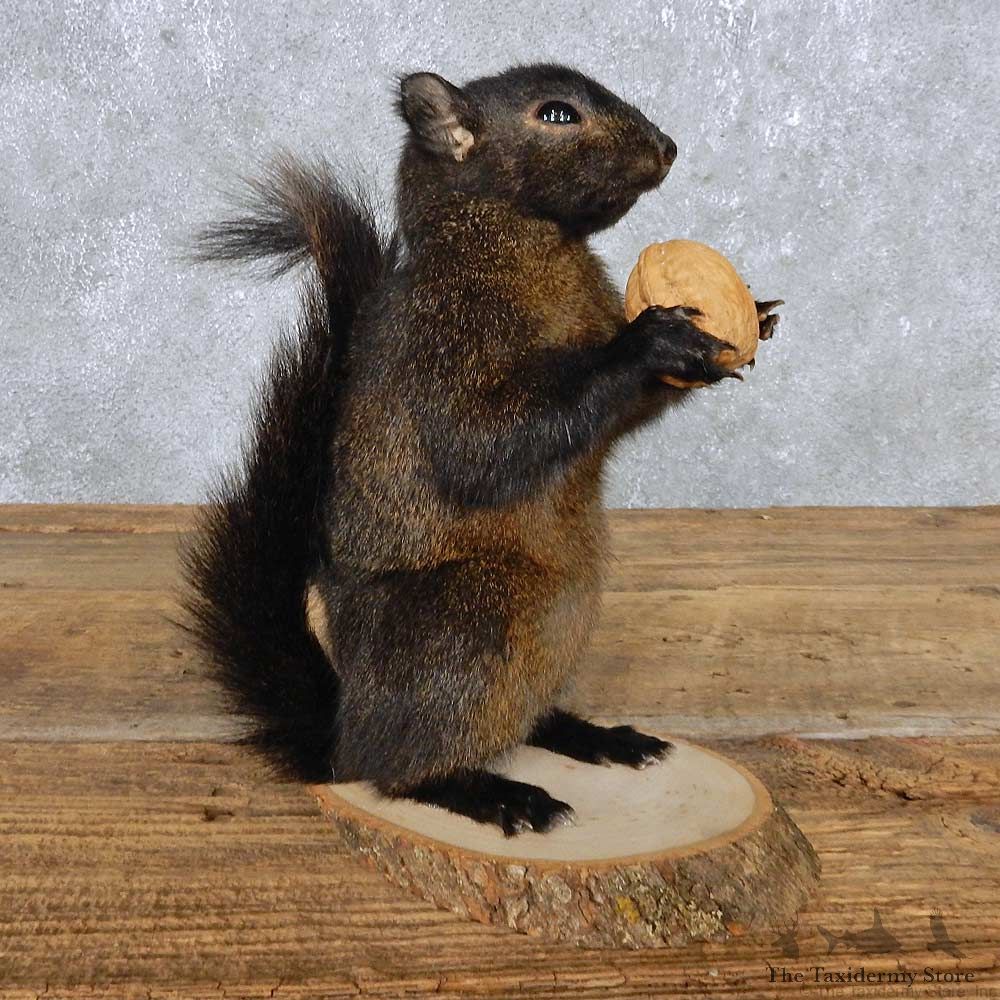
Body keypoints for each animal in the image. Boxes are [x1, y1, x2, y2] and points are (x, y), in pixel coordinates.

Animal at [183, 64, 777, 836]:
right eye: (556, 114)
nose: (669, 147)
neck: (530, 241)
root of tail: (342, 737)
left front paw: (755, 312)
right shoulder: (445, 344)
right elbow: (484, 443)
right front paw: (649, 341)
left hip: (561, 629)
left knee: (518, 720)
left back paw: (595, 736)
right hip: (470, 622)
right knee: (400, 769)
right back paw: (494, 793)